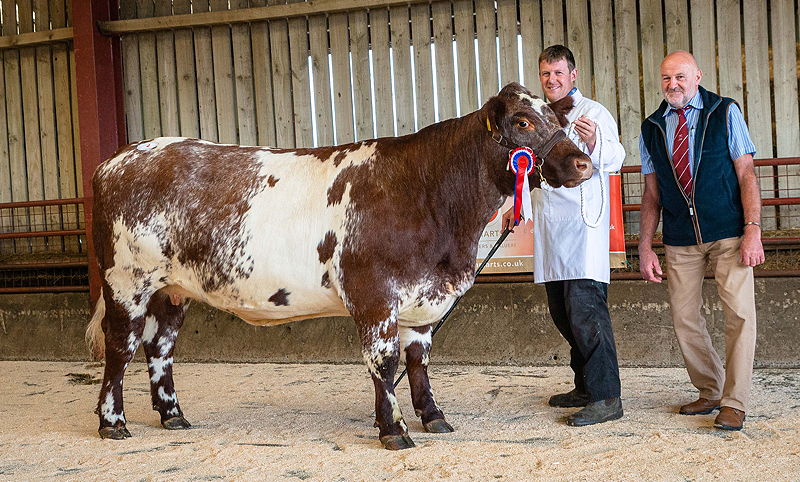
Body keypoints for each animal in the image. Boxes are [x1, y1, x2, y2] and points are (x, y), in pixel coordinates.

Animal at [86, 82, 592, 448]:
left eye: (558, 119)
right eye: (523, 121)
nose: (583, 163)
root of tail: (119, 158)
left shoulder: (424, 298)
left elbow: (419, 360)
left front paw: (433, 417)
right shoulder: (375, 296)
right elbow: (384, 363)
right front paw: (394, 430)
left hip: (172, 290)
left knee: (160, 348)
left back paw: (173, 416)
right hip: (127, 281)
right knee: (120, 346)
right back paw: (112, 422)